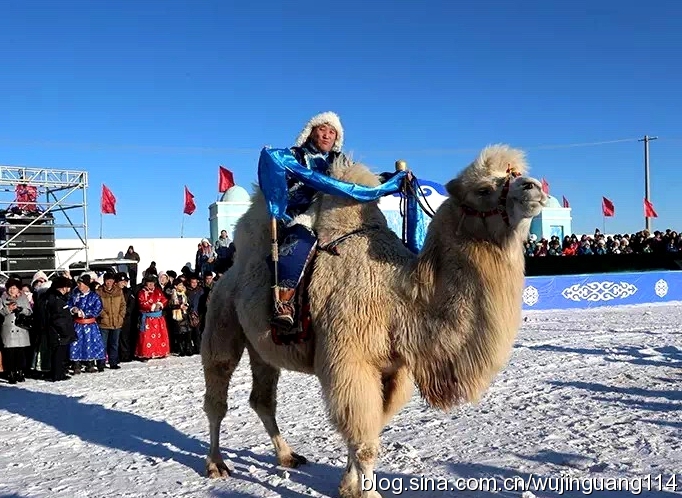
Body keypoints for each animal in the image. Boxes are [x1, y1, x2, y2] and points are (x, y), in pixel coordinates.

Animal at [199, 142, 544, 496]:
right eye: (484, 189)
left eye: (516, 174)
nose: (534, 188)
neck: (400, 298)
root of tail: (225, 275)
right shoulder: (350, 362)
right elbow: (364, 441)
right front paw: (366, 491)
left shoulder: (395, 370)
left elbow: (372, 429)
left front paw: (347, 486)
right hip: (221, 318)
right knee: (217, 391)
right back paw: (216, 464)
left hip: (262, 347)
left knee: (263, 399)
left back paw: (287, 456)